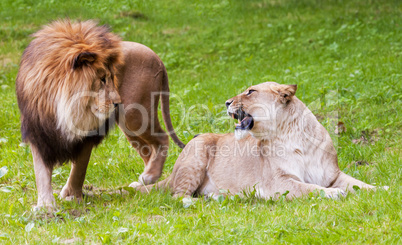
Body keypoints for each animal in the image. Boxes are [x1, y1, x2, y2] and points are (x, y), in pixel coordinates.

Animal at [15, 20, 185, 210]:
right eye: (102, 79)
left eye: (112, 77)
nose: (118, 102)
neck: (64, 107)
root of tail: (157, 58)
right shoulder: (39, 132)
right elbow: (41, 172)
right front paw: (46, 205)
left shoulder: (88, 134)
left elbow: (79, 169)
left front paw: (72, 195)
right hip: (129, 127)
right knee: (148, 150)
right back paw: (144, 181)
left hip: (134, 116)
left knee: (162, 137)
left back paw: (149, 176)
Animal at [133, 81, 384, 200]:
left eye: (250, 91)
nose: (226, 102)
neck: (291, 134)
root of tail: (173, 172)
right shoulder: (279, 184)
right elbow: (310, 189)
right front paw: (334, 194)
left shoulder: (332, 175)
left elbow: (358, 184)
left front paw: (382, 188)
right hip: (197, 151)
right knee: (178, 197)